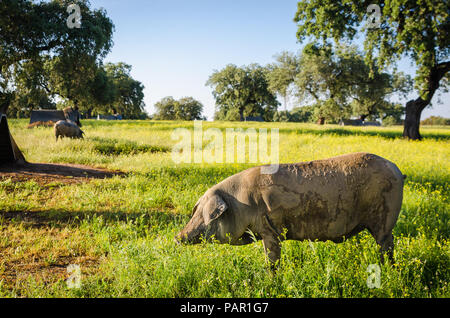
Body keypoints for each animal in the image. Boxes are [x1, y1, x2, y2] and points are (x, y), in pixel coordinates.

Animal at [175, 153, 404, 266]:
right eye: (195, 212)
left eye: (205, 215)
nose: (177, 237)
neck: (241, 204)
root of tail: (396, 169)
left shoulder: (270, 230)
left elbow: (272, 259)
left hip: (385, 220)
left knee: (386, 244)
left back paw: (387, 269)